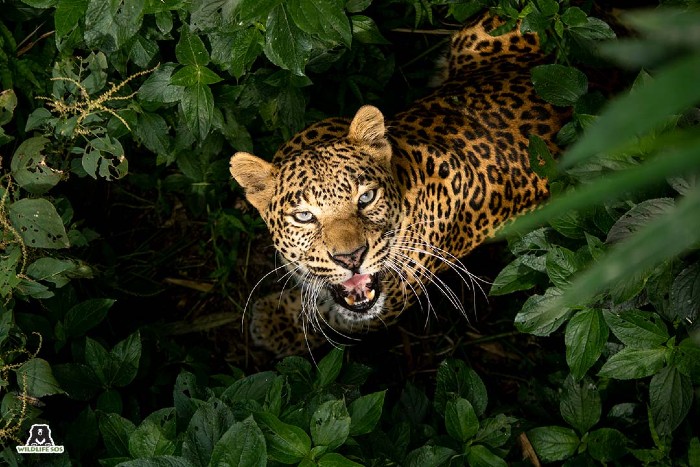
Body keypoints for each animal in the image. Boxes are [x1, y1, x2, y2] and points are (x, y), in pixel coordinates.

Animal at [230, 11, 568, 356]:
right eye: (304, 216)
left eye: (366, 198)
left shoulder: (387, 303)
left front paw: (272, 324)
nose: (351, 258)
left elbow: (327, 319)